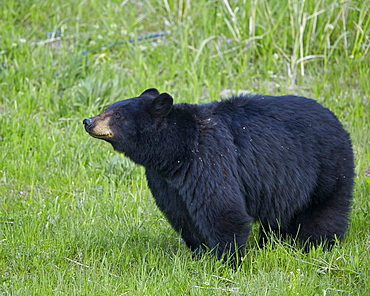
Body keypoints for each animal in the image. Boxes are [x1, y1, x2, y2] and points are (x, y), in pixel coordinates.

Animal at [82, 88, 354, 260]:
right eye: (109, 107)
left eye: (118, 114)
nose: (88, 121)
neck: (176, 150)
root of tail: (336, 119)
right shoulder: (165, 180)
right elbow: (181, 213)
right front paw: (199, 253)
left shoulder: (209, 157)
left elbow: (222, 208)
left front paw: (227, 260)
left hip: (326, 167)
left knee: (324, 211)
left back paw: (317, 246)